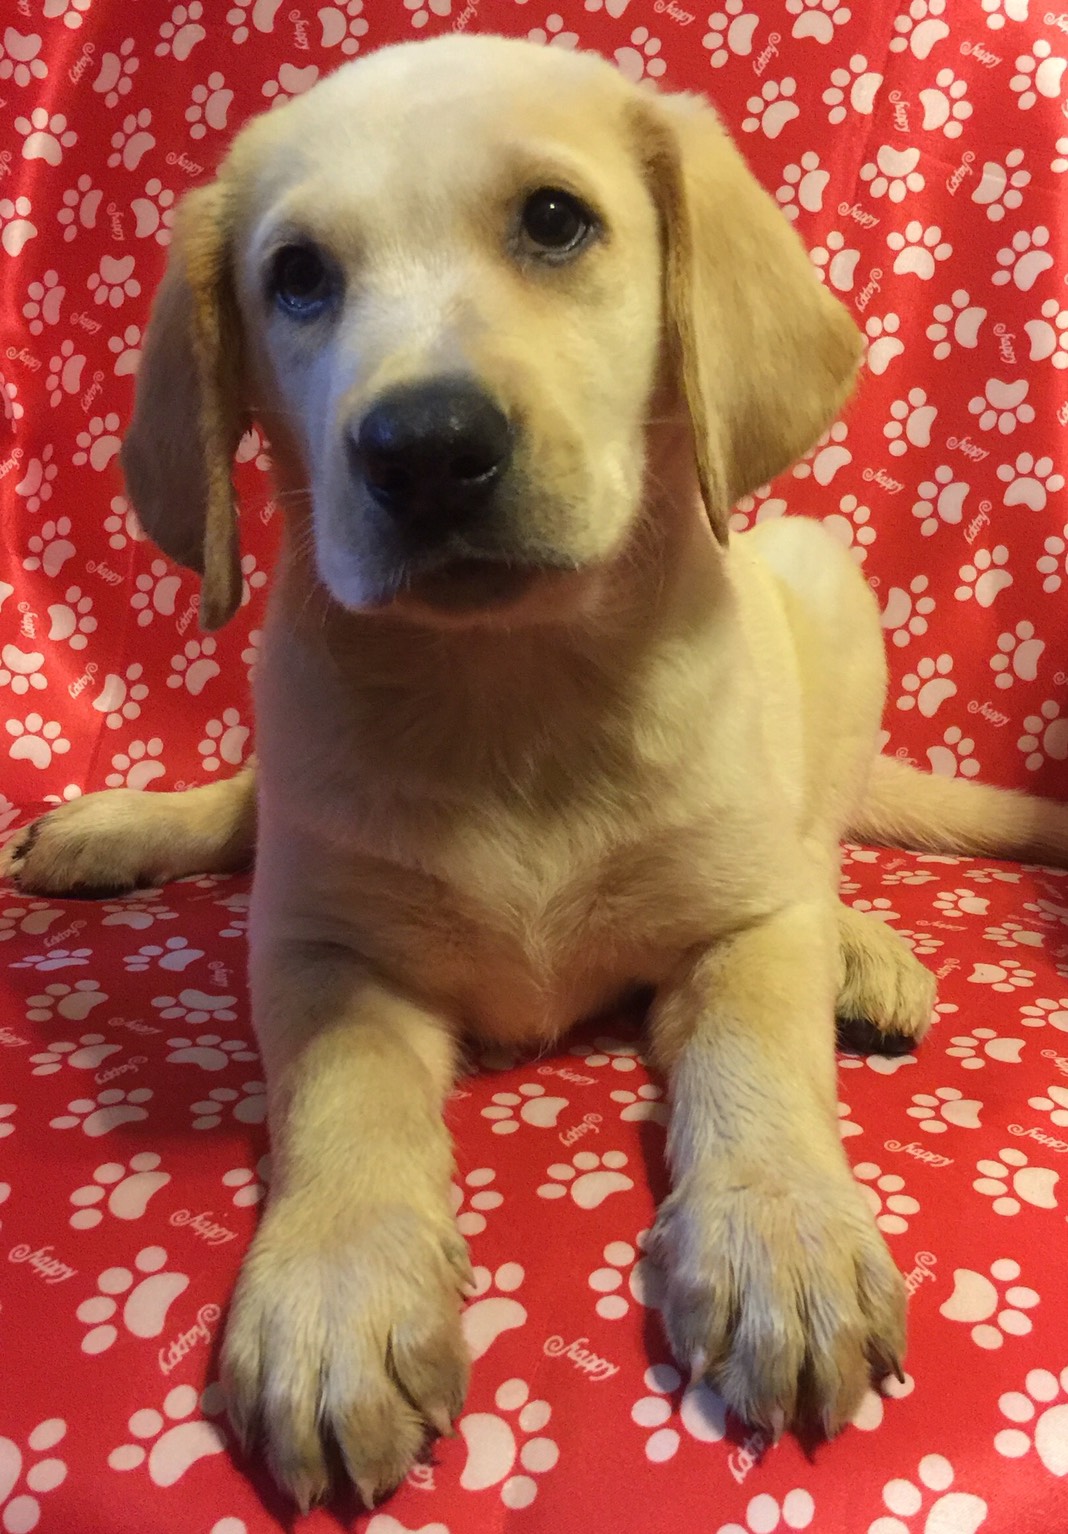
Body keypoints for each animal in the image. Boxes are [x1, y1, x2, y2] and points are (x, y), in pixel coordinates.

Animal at [5, 33, 1068, 1512]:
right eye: (298, 277)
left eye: (556, 222)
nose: (423, 448)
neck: (512, 686)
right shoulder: (318, 944)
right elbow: (342, 1092)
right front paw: (336, 1293)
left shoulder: (739, 926)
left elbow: (758, 1047)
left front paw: (780, 1235)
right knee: (249, 805)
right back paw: (117, 825)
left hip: (827, 580)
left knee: (819, 843)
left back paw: (860, 944)